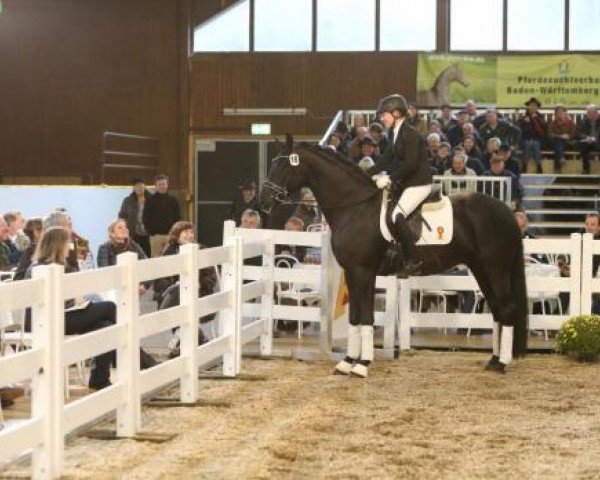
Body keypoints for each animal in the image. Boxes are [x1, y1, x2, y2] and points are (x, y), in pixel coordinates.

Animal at [260, 134, 528, 376]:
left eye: (282, 165)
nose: (264, 202)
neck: (355, 208)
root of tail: (505, 211)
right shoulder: (351, 272)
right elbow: (355, 316)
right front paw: (347, 362)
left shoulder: (364, 272)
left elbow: (366, 316)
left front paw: (363, 364)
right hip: (480, 269)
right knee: (497, 310)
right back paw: (493, 360)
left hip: (496, 269)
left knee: (506, 309)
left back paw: (502, 363)